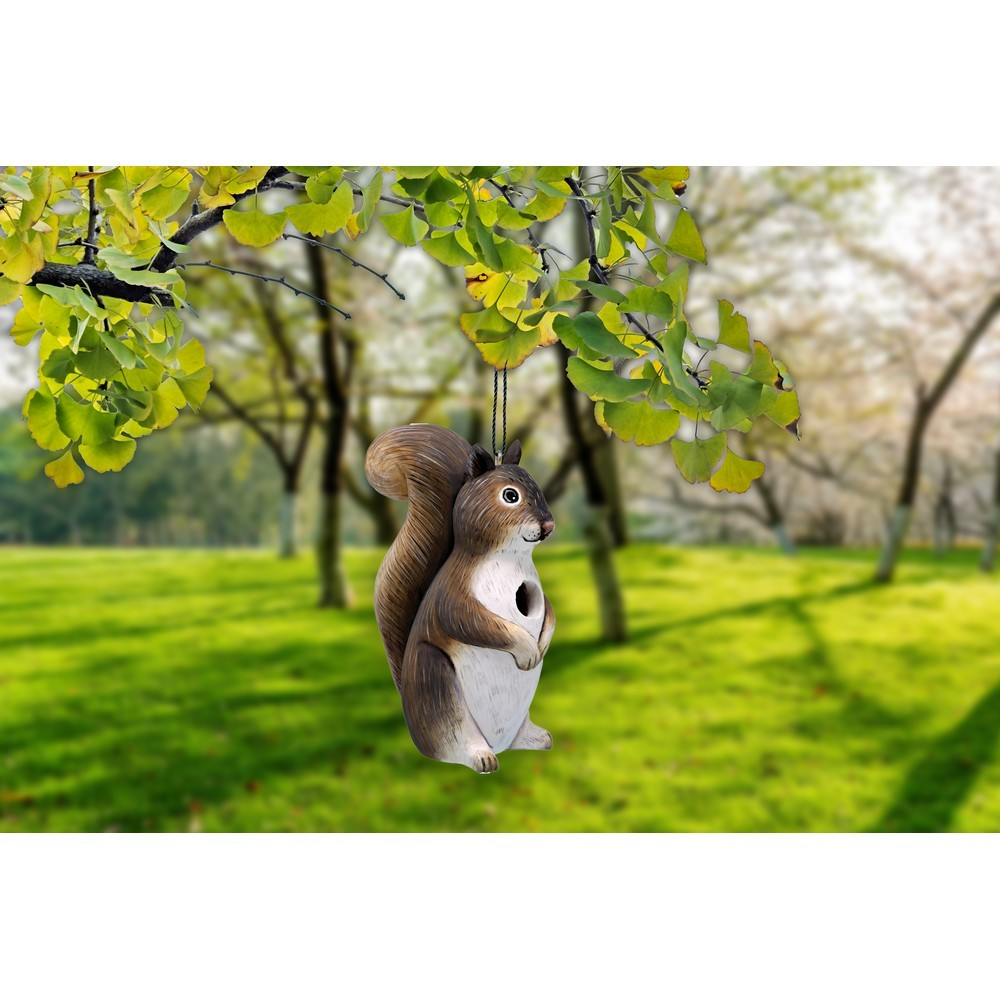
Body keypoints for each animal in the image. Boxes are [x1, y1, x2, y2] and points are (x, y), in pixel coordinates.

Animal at [365, 424, 556, 773]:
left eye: (537, 485)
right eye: (510, 495)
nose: (548, 526)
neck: (509, 558)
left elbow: (549, 611)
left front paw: (543, 644)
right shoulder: (452, 594)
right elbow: (474, 623)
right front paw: (527, 650)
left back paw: (535, 738)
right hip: (437, 683)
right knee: (451, 745)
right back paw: (479, 756)